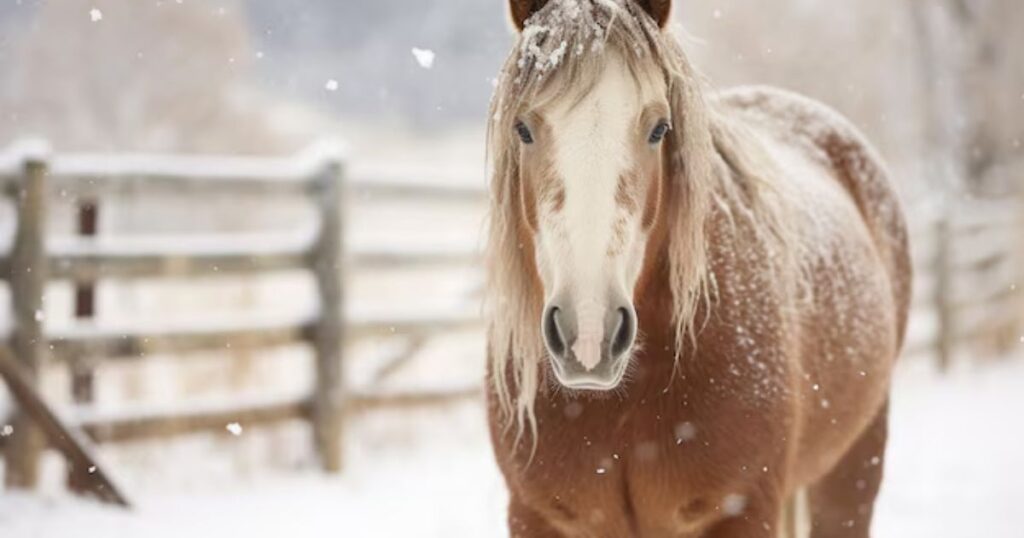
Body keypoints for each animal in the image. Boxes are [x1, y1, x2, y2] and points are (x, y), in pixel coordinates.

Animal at [485, 1, 913, 536]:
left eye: (659, 129)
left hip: (853, 466)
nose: (588, 336)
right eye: (523, 128)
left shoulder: (745, 508)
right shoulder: (533, 514)